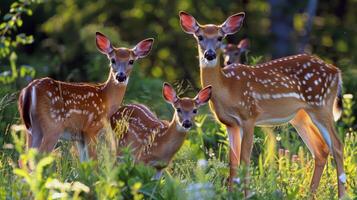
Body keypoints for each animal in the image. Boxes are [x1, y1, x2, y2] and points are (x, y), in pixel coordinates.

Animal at [17, 32, 153, 162]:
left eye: (131, 61)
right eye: (113, 60)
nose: (120, 76)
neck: (106, 98)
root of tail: (29, 89)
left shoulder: (79, 135)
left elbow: (84, 163)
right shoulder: (90, 128)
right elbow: (93, 161)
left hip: (31, 128)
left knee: (23, 158)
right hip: (52, 125)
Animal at [178, 11, 344, 198]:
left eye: (220, 37)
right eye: (200, 37)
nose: (210, 54)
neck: (226, 88)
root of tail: (336, 72)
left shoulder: (249, 116)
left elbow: (244, 160)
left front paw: (246, 194)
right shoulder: (230, 123)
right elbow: (232, 162)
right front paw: (231, 194)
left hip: (321, 105)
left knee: (337, 145)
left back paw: (342, 194)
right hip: (301, 116)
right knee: (321, 149)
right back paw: (309, 194)